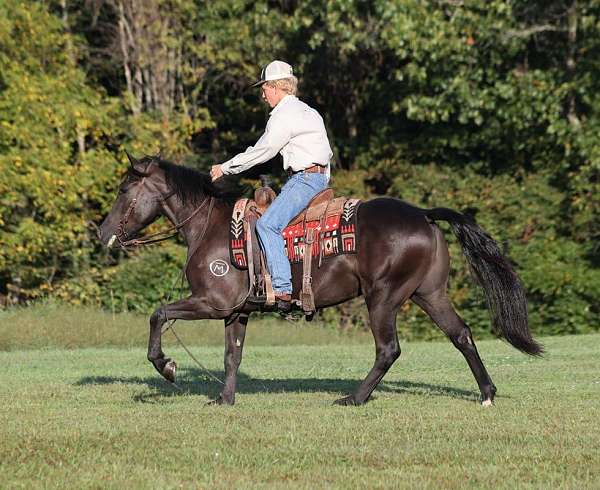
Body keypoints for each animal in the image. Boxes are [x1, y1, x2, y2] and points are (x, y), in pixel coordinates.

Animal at [99, 155, 544, 408]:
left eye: (123, 189)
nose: (103, 232)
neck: (210, 228)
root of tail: (422, 214)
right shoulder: (237, 312)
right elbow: (231, 356)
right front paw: (224, 400)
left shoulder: (212, 302)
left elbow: (159, 315)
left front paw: (167, 366)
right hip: (428, 293)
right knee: (462, 335)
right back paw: (487, 394)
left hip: (383, 297)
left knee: (389, 349)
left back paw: (354, 398)